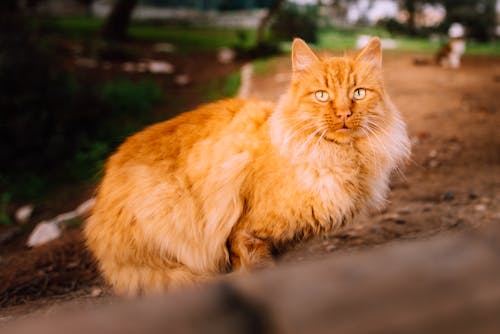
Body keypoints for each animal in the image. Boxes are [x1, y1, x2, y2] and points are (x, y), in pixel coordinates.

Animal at [83, 37, 410, 296]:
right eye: (322, 95)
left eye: (358, 93)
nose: (343, 114)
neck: (341, 159)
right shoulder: (246, 233)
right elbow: (256, 269)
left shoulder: (283, 241)